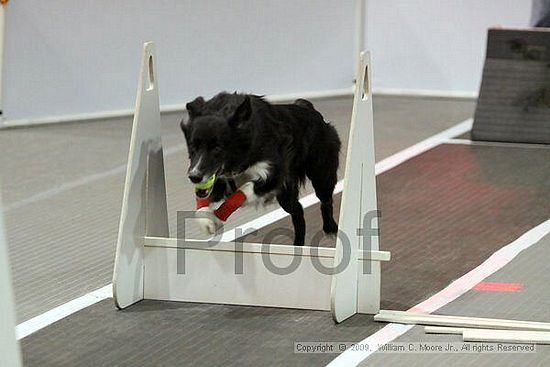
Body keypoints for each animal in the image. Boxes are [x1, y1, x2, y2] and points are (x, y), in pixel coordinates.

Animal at [181, 92, 342, 247]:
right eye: (193, 146)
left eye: (217, 148)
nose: (194, 177)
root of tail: (309, 108)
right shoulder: (218, 178)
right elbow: (205, 197)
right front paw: (207, 220)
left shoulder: (274, 172)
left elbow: (244, 190)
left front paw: (218, 216)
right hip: (286, 195)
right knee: (297, 211)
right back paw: (298, 246)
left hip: (321, 174)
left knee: (325, 201)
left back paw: (330, 229)